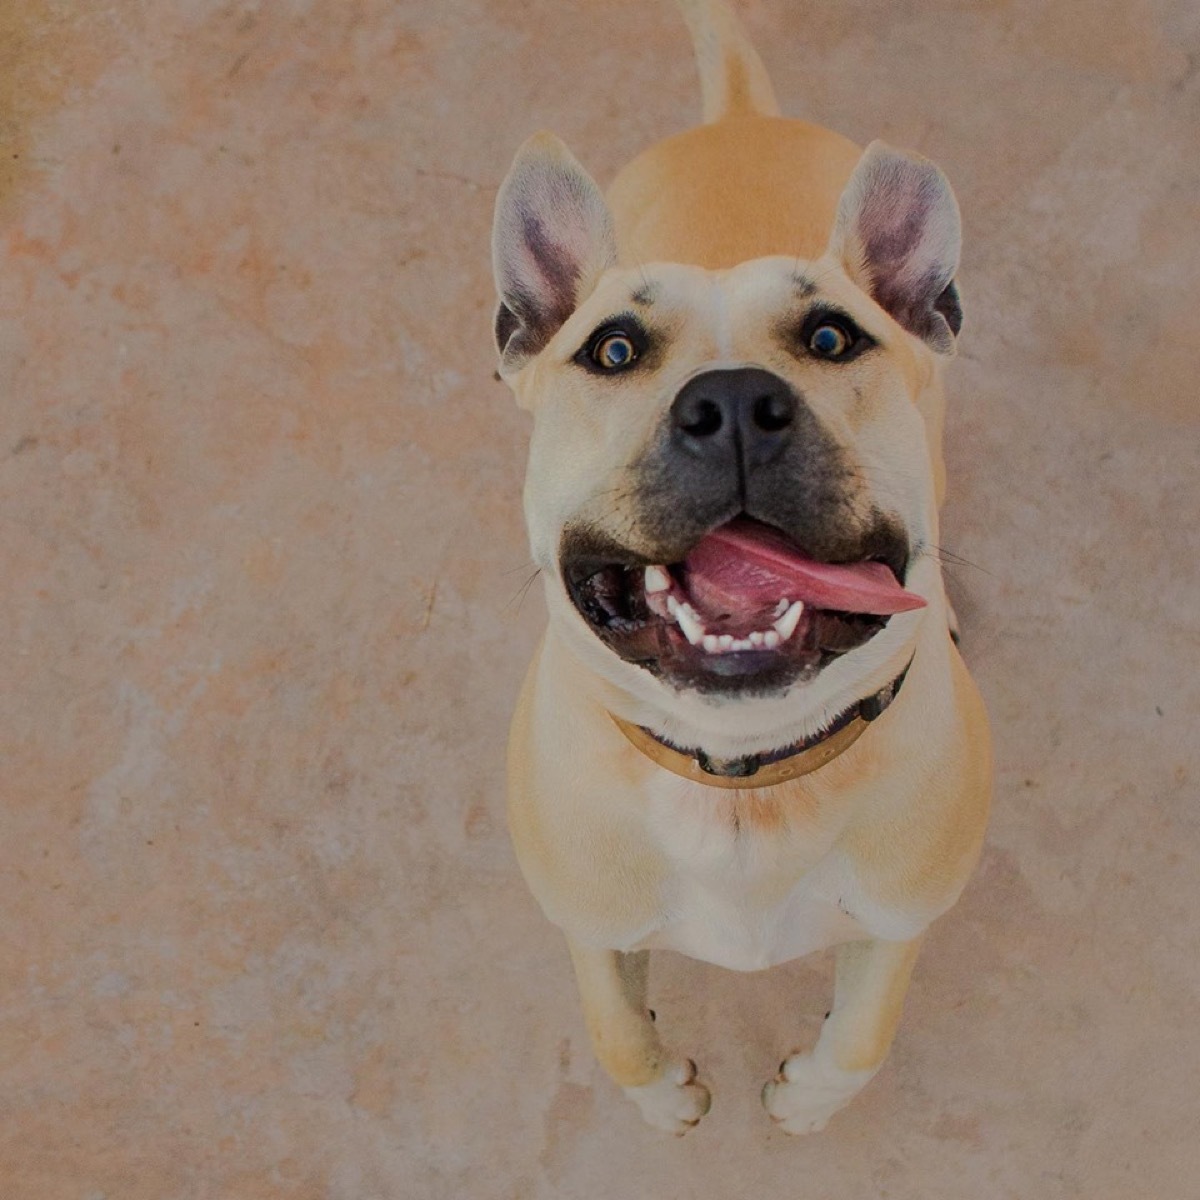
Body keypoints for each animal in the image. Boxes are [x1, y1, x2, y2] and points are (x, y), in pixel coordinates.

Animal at [487, 0, 993, 1132]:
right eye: (612, 351)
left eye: (833, 337)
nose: (728, 404)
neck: (744, 782)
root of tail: (740, 117)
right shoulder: (589, 921)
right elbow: (616, 1034)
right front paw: (666, 1097)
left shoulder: (899, 920)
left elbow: (862, 1037)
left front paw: (805, 1100)